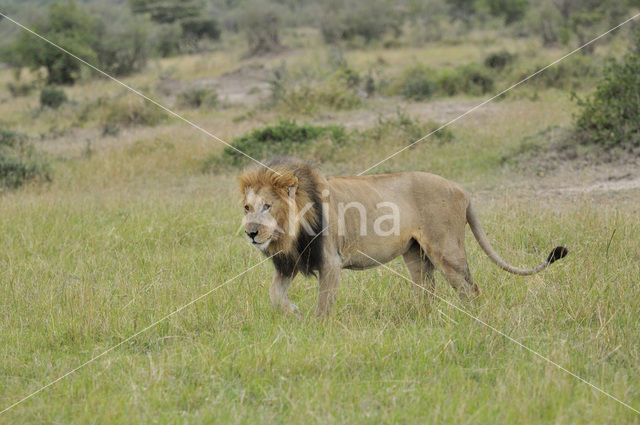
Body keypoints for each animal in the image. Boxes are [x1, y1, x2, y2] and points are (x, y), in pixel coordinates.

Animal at [238, 157, 568, 316]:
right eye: (247, 207)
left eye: (267, 206)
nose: (251, 233)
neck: (288, 233)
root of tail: (462, 189)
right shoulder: (290, 263)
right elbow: (274, 294)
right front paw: (293, 313)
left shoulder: (330, 261)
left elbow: (323, 305)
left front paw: (317, 329)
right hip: (415, 253)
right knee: (427, 290)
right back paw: (422, 319)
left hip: (446, 249)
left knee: (469, 289)